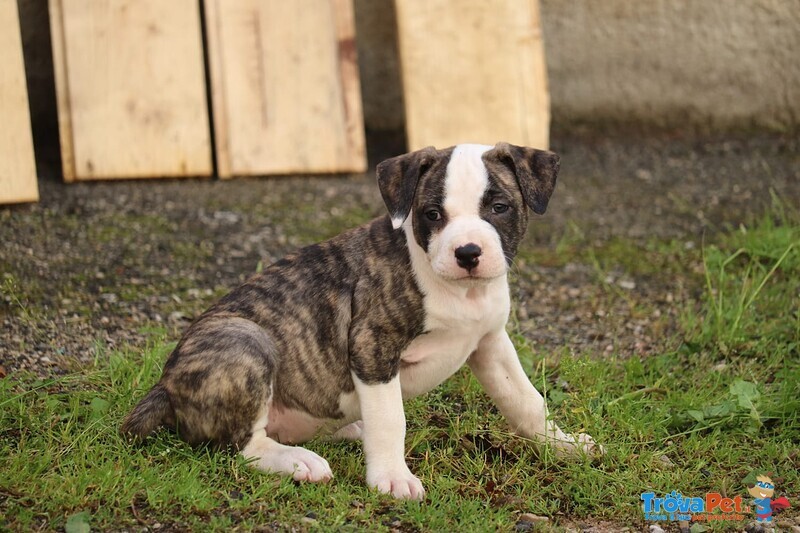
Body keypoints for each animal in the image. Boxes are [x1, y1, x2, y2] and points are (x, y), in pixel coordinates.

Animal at [122, 141, 600, 498]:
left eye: (499, 207)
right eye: (432, 214)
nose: (467, 253)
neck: (460, 292)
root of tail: (164, 386)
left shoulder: (490, 342)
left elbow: (526, 401)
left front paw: (559, 444)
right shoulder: (372, 344)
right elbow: (391, 418)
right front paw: (391, 478)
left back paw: (348, 429)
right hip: (245, 340)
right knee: (243, 445)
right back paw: (297, 461)